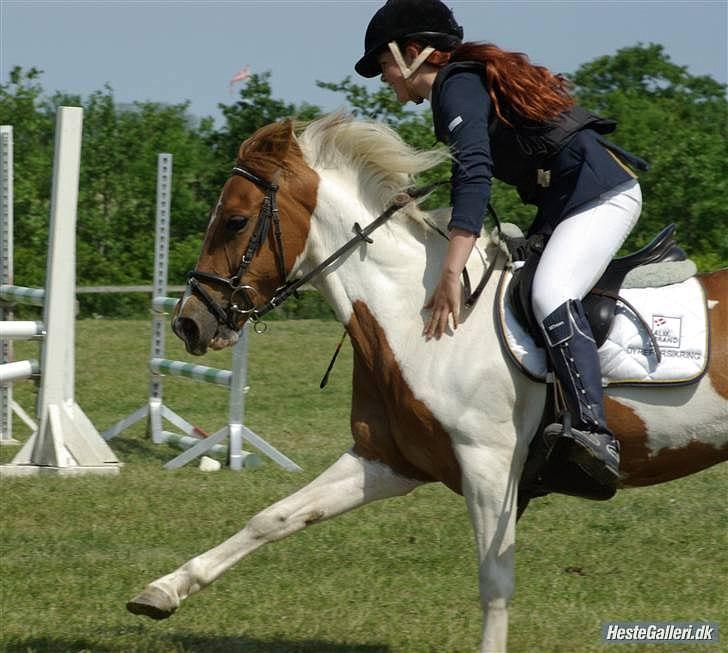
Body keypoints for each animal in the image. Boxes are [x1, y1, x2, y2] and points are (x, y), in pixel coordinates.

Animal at [127, 113, 728, 652]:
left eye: (234, 220)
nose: (188, 322)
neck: (413, 319)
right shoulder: (388, 460)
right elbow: (273, 518)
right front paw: (162, 591)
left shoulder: (488, 465)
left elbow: (494, 582)